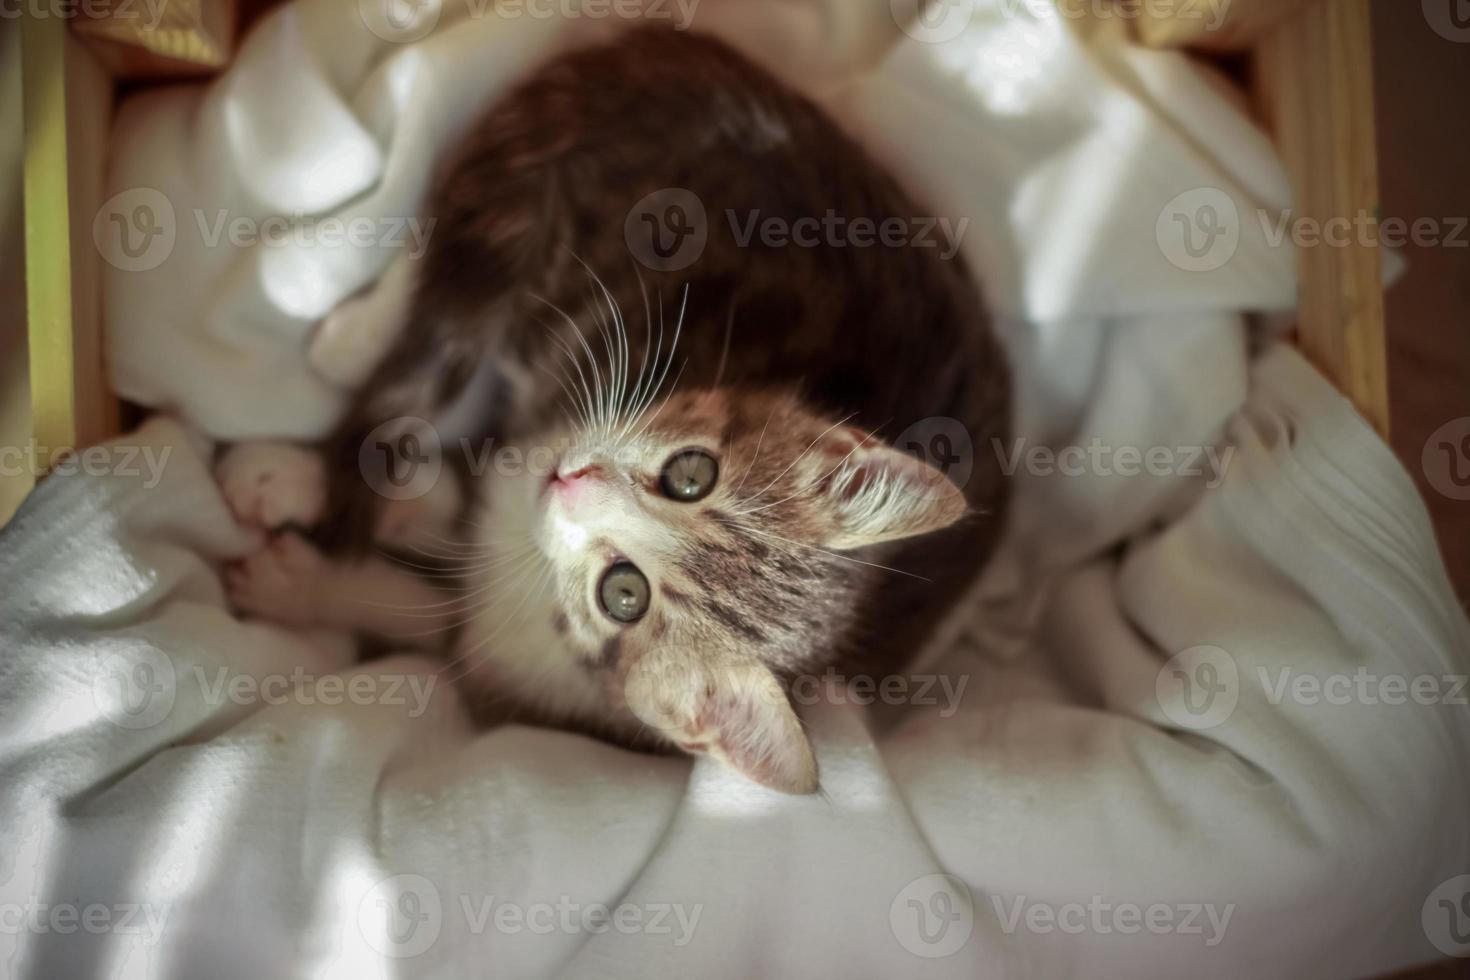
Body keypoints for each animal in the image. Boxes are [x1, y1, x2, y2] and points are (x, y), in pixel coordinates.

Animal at [223, 28, 1011, 799]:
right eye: (693, 474)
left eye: (623, 594)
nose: (572, 483)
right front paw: (298, 481)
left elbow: (425, 610)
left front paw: (303, 578)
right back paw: (352, 332)